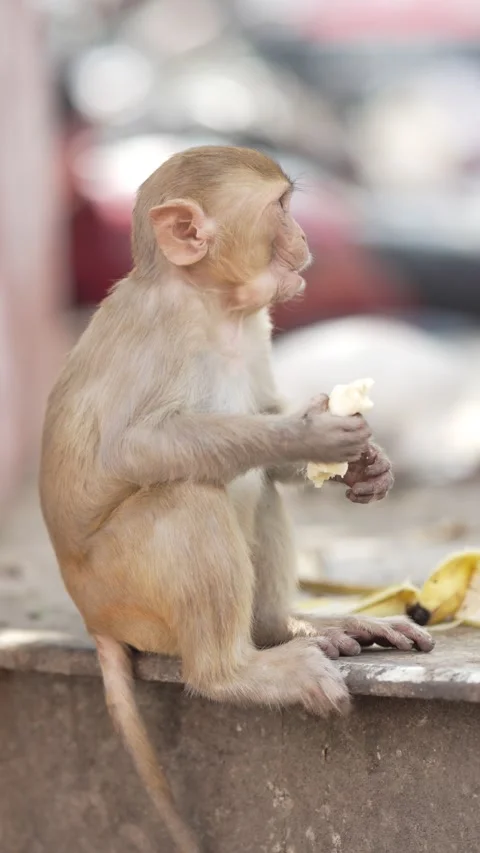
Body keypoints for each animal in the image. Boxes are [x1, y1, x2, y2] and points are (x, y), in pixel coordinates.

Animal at [39, 146, 434, 853]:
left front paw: (369, 464)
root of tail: (92, 618)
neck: (211, 304)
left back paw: (289, 630)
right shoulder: (162, 331)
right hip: (127, 596)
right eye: (282, 208)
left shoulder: (257, 326)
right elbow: (130, 451)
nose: (305, 240)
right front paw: (309, 432)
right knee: (186, 497)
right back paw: (238, 673)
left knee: (254, 490)